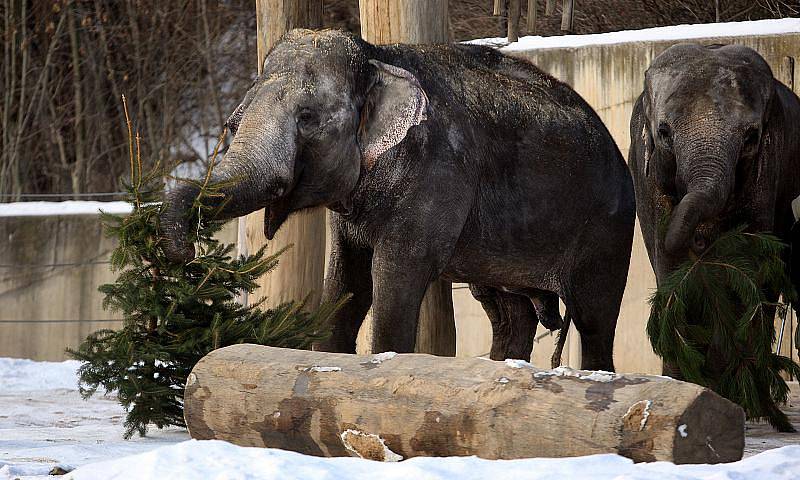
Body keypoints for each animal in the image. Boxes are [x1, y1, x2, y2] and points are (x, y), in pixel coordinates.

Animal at [161, 29, 636, 372]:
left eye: (307, 118)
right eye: (234, 122)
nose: (188, 255)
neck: (377, 55)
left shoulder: (437, 172)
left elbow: (392, 276)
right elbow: (346, 282)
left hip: (607, 228)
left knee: (594, 320)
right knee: (508, 312)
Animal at [632, 45, 800, 376]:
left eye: (751, 137)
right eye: (664, 133)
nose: (699, 241)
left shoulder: (767, 167)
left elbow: (749, 262)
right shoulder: (647, 180)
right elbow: (669, 262)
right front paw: (686, 379)